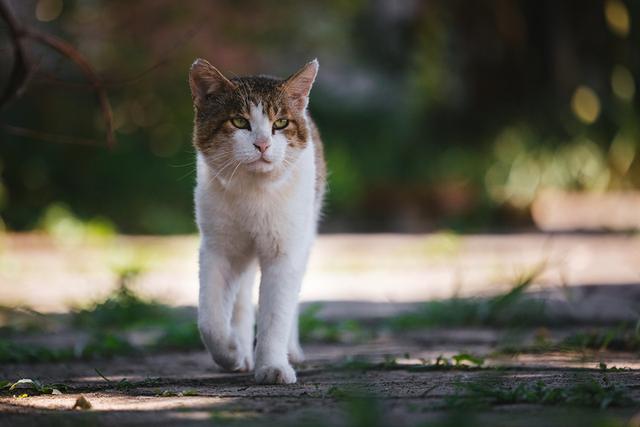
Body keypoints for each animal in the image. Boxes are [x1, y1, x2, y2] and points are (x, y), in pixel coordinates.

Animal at [185, 58, 324, 386]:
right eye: (239, 122)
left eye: (281, 124)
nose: (262, 144)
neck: (253, 192)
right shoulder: (218, 248)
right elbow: (209, 319)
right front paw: (232, 351)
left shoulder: (285, 250)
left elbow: (276, 312)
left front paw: (273, 366)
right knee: (241, 297)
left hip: (307, 229)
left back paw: (290, 350)